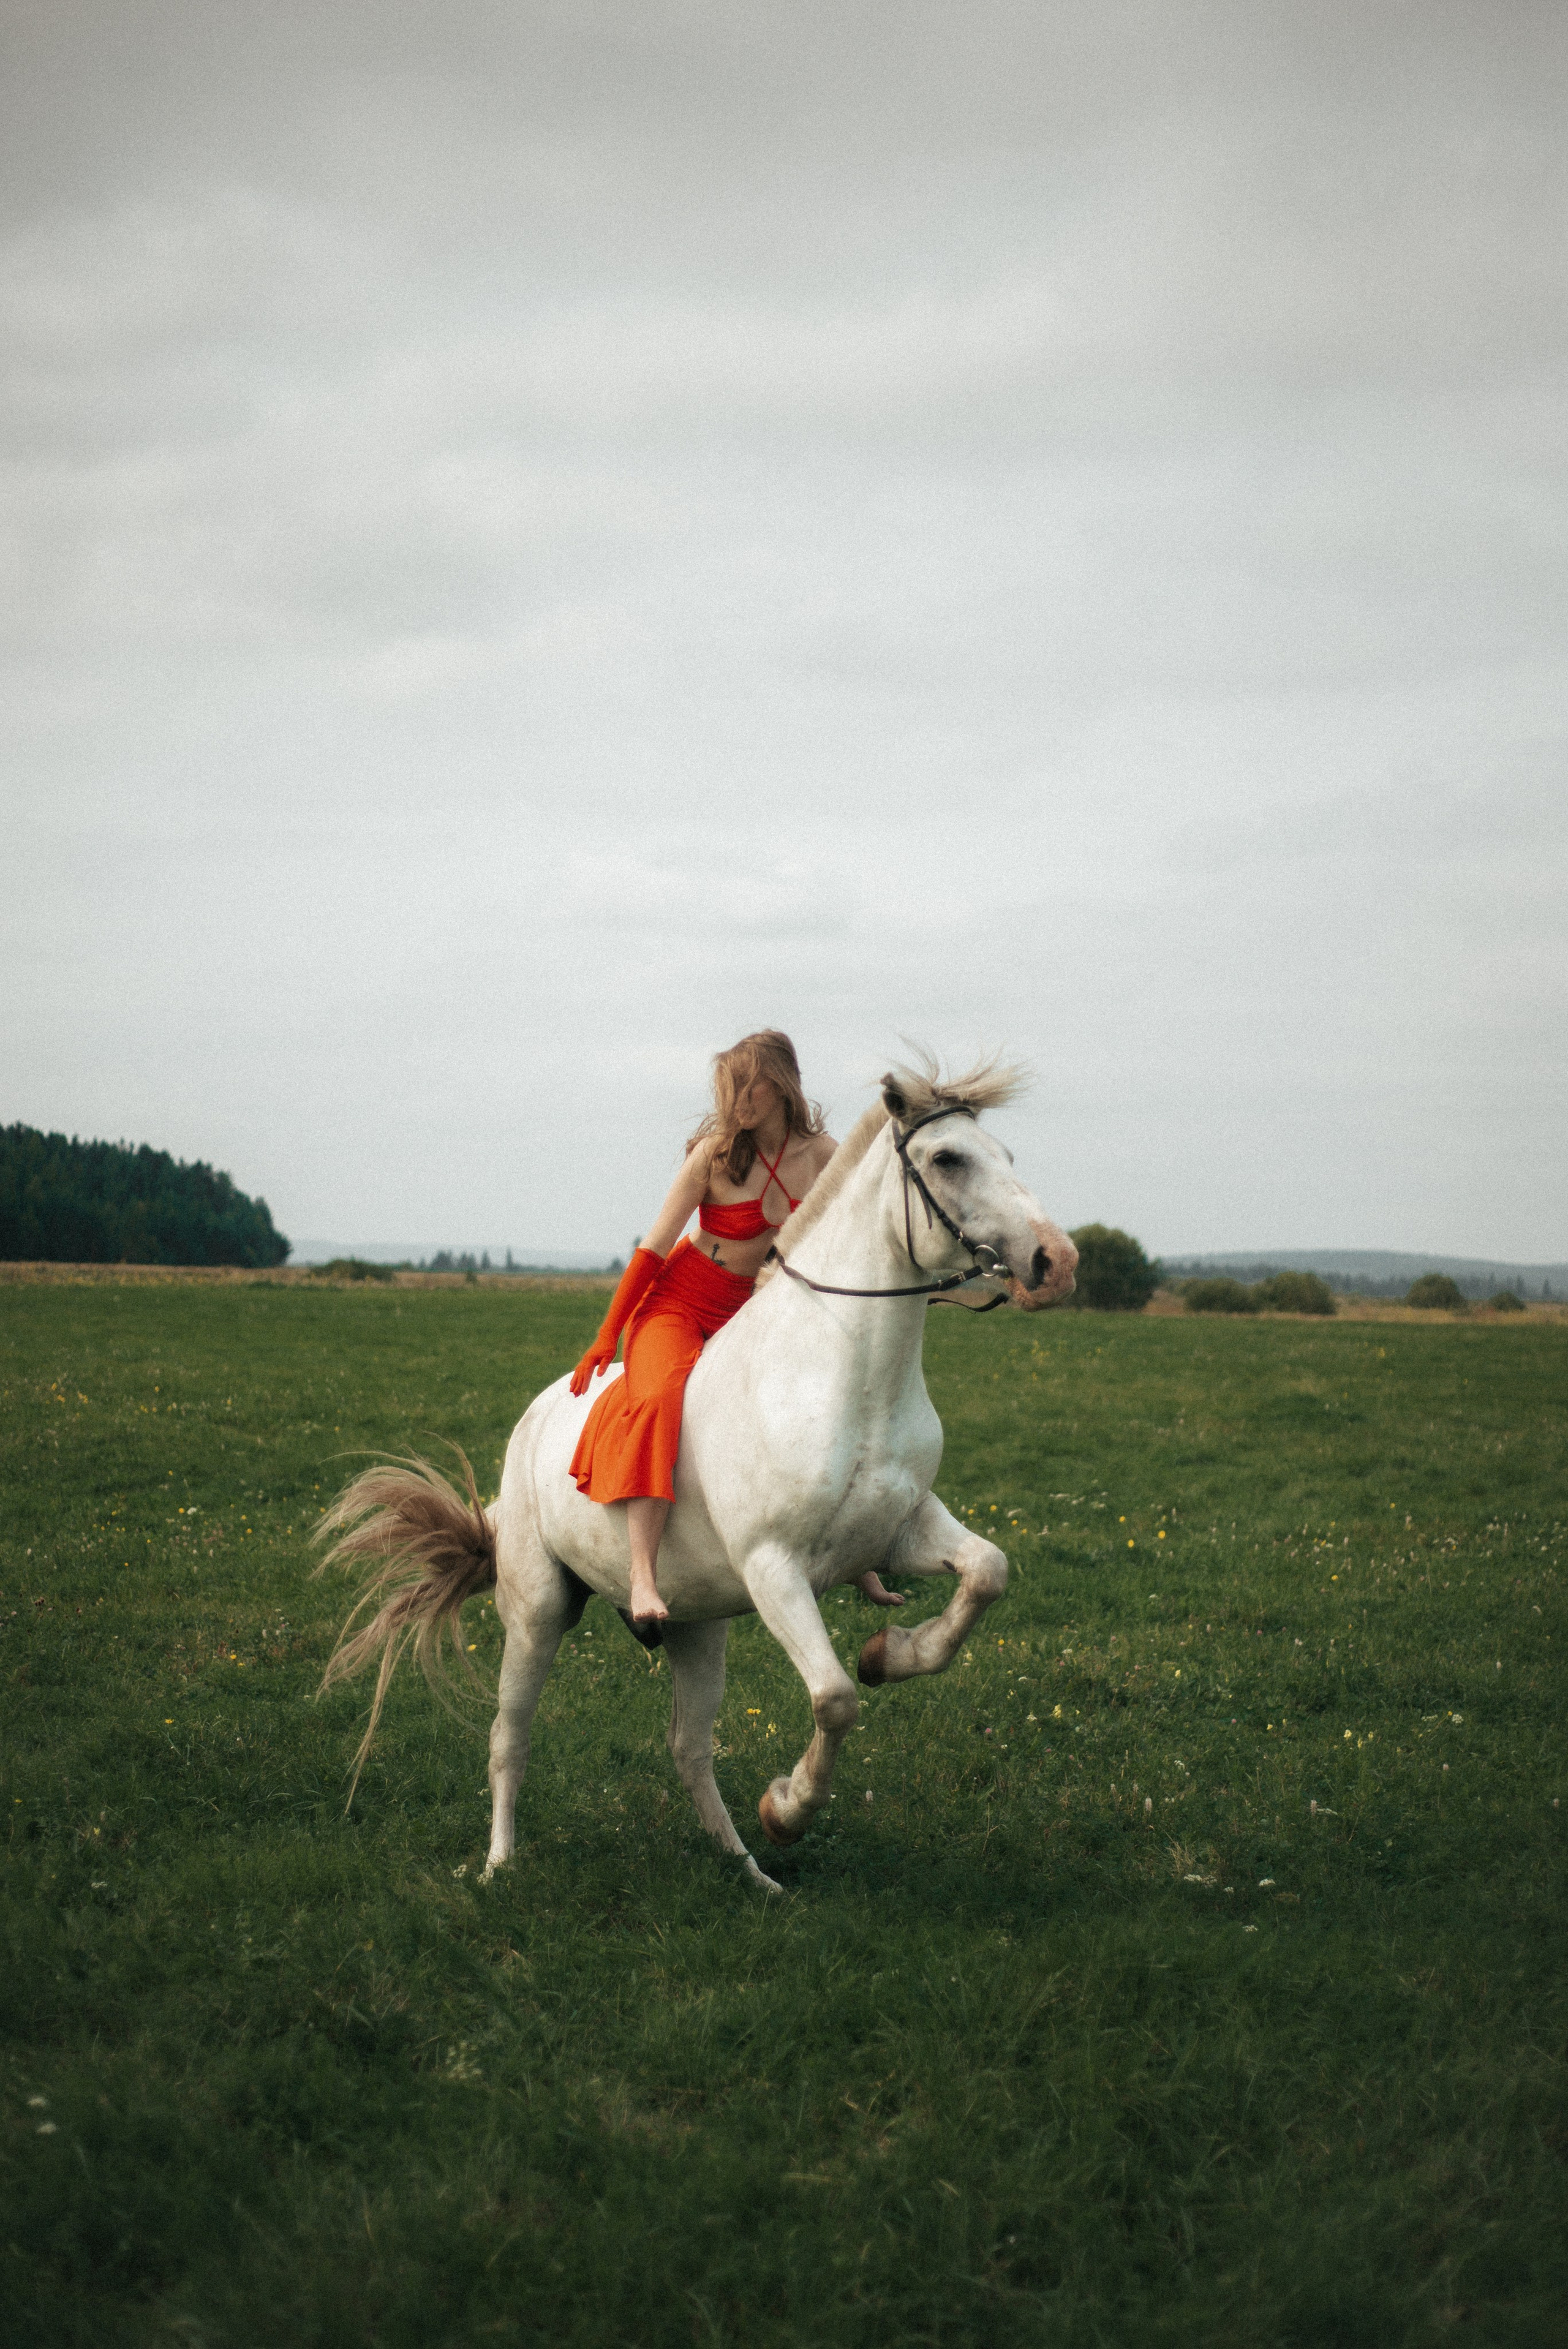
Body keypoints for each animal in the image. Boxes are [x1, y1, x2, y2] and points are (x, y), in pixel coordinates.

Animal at [315, 1057, 1078, 1893]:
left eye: (1006, 1154)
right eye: (947, 1158)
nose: (1056, 1262)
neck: (838, 1375)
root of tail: (536, 1419)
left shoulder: (902, 1532)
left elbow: (987, 1573)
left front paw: (889, 1652)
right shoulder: (775, 1568)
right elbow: (836, 1698)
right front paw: (788, 1808)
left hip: (697, 1627)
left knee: (688, 1750)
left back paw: (753, 1875)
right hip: (538, 1615)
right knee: (508, 1738)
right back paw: (498, 1866)